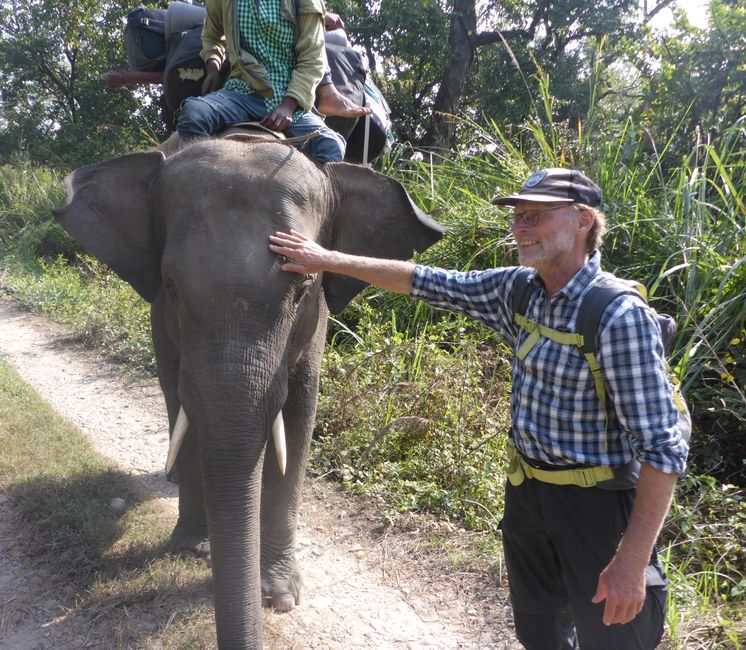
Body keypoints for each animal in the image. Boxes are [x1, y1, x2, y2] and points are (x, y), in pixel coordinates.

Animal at [56, 138, 442, 648]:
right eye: (172, 287)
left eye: (302, 289)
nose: (268, 602)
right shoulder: (163, 319)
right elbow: (185, 405)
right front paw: (193, 549)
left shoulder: (316, 321)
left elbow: (298, 417)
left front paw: (280, 596)